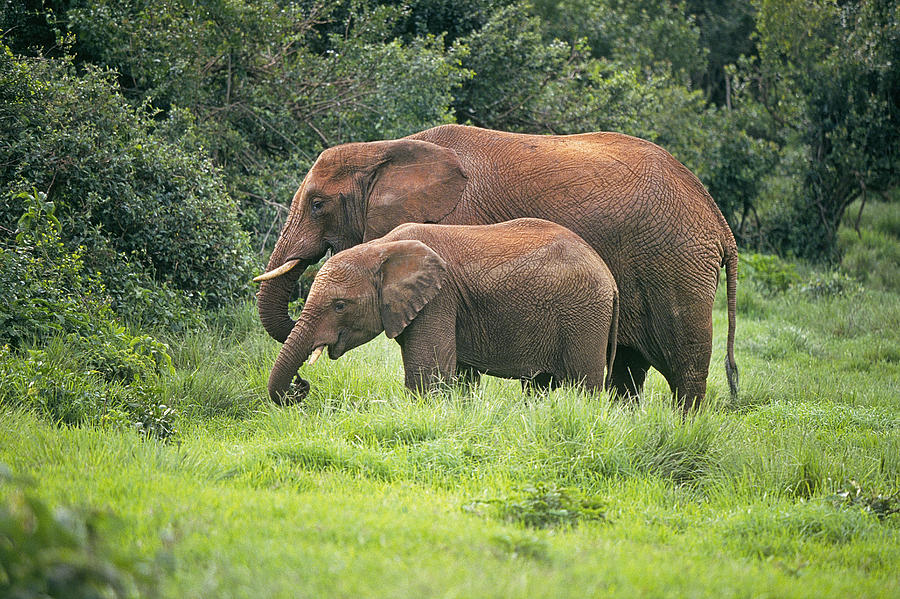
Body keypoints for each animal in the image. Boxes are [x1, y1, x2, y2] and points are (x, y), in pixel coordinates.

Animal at [268, 217, 620, 404]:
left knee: (584, 384)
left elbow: (428, 374)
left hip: (584, 314)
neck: (381, 248)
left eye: (340, 305)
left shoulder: (439, 299)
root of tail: (609, 277)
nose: (301, 384)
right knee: (539, 386)